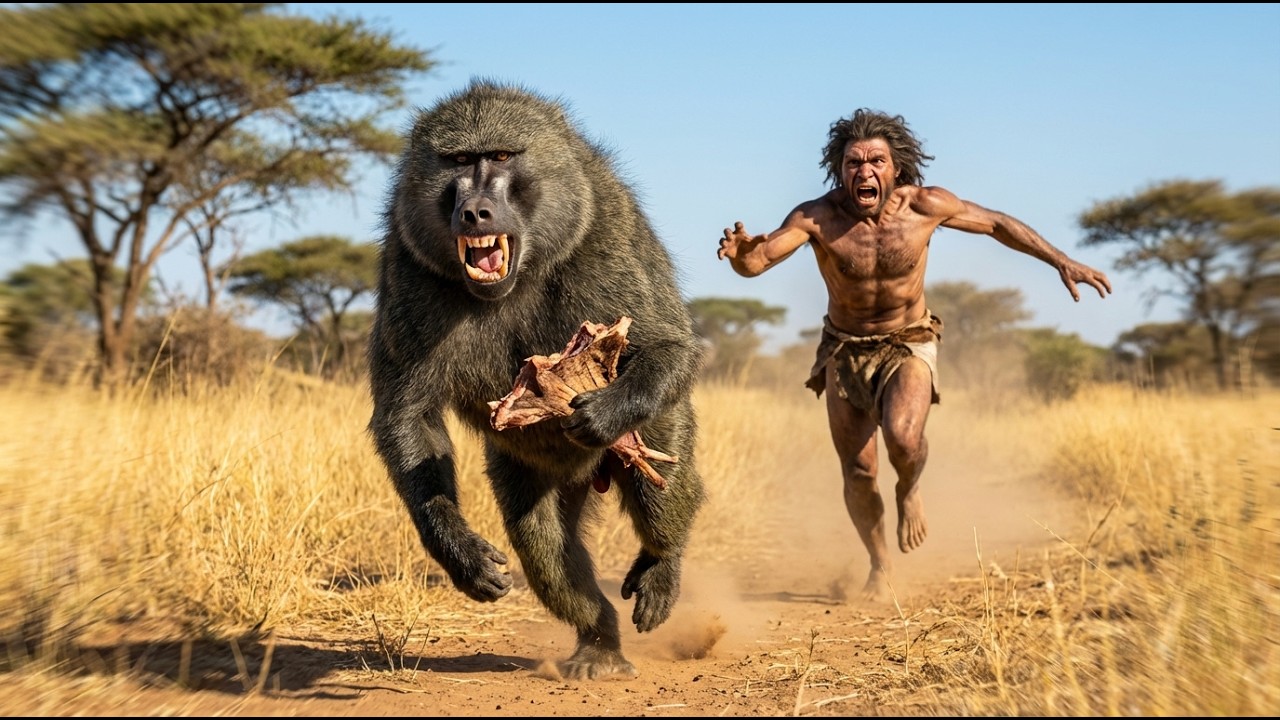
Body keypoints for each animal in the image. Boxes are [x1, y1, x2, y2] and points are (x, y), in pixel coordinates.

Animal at [366, 80, 706, 681]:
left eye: (502, 157)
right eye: (458, 161)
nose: (475, 212)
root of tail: (592, 472)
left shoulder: (604, 238)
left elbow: (670, 347)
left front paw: (600, 413)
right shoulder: (407, 269)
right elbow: (408, 416)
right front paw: (461, 552)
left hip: (655, 437)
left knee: (660, 484)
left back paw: (662, 570)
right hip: (536, 474)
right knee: (546, 551)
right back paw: (600, 643)